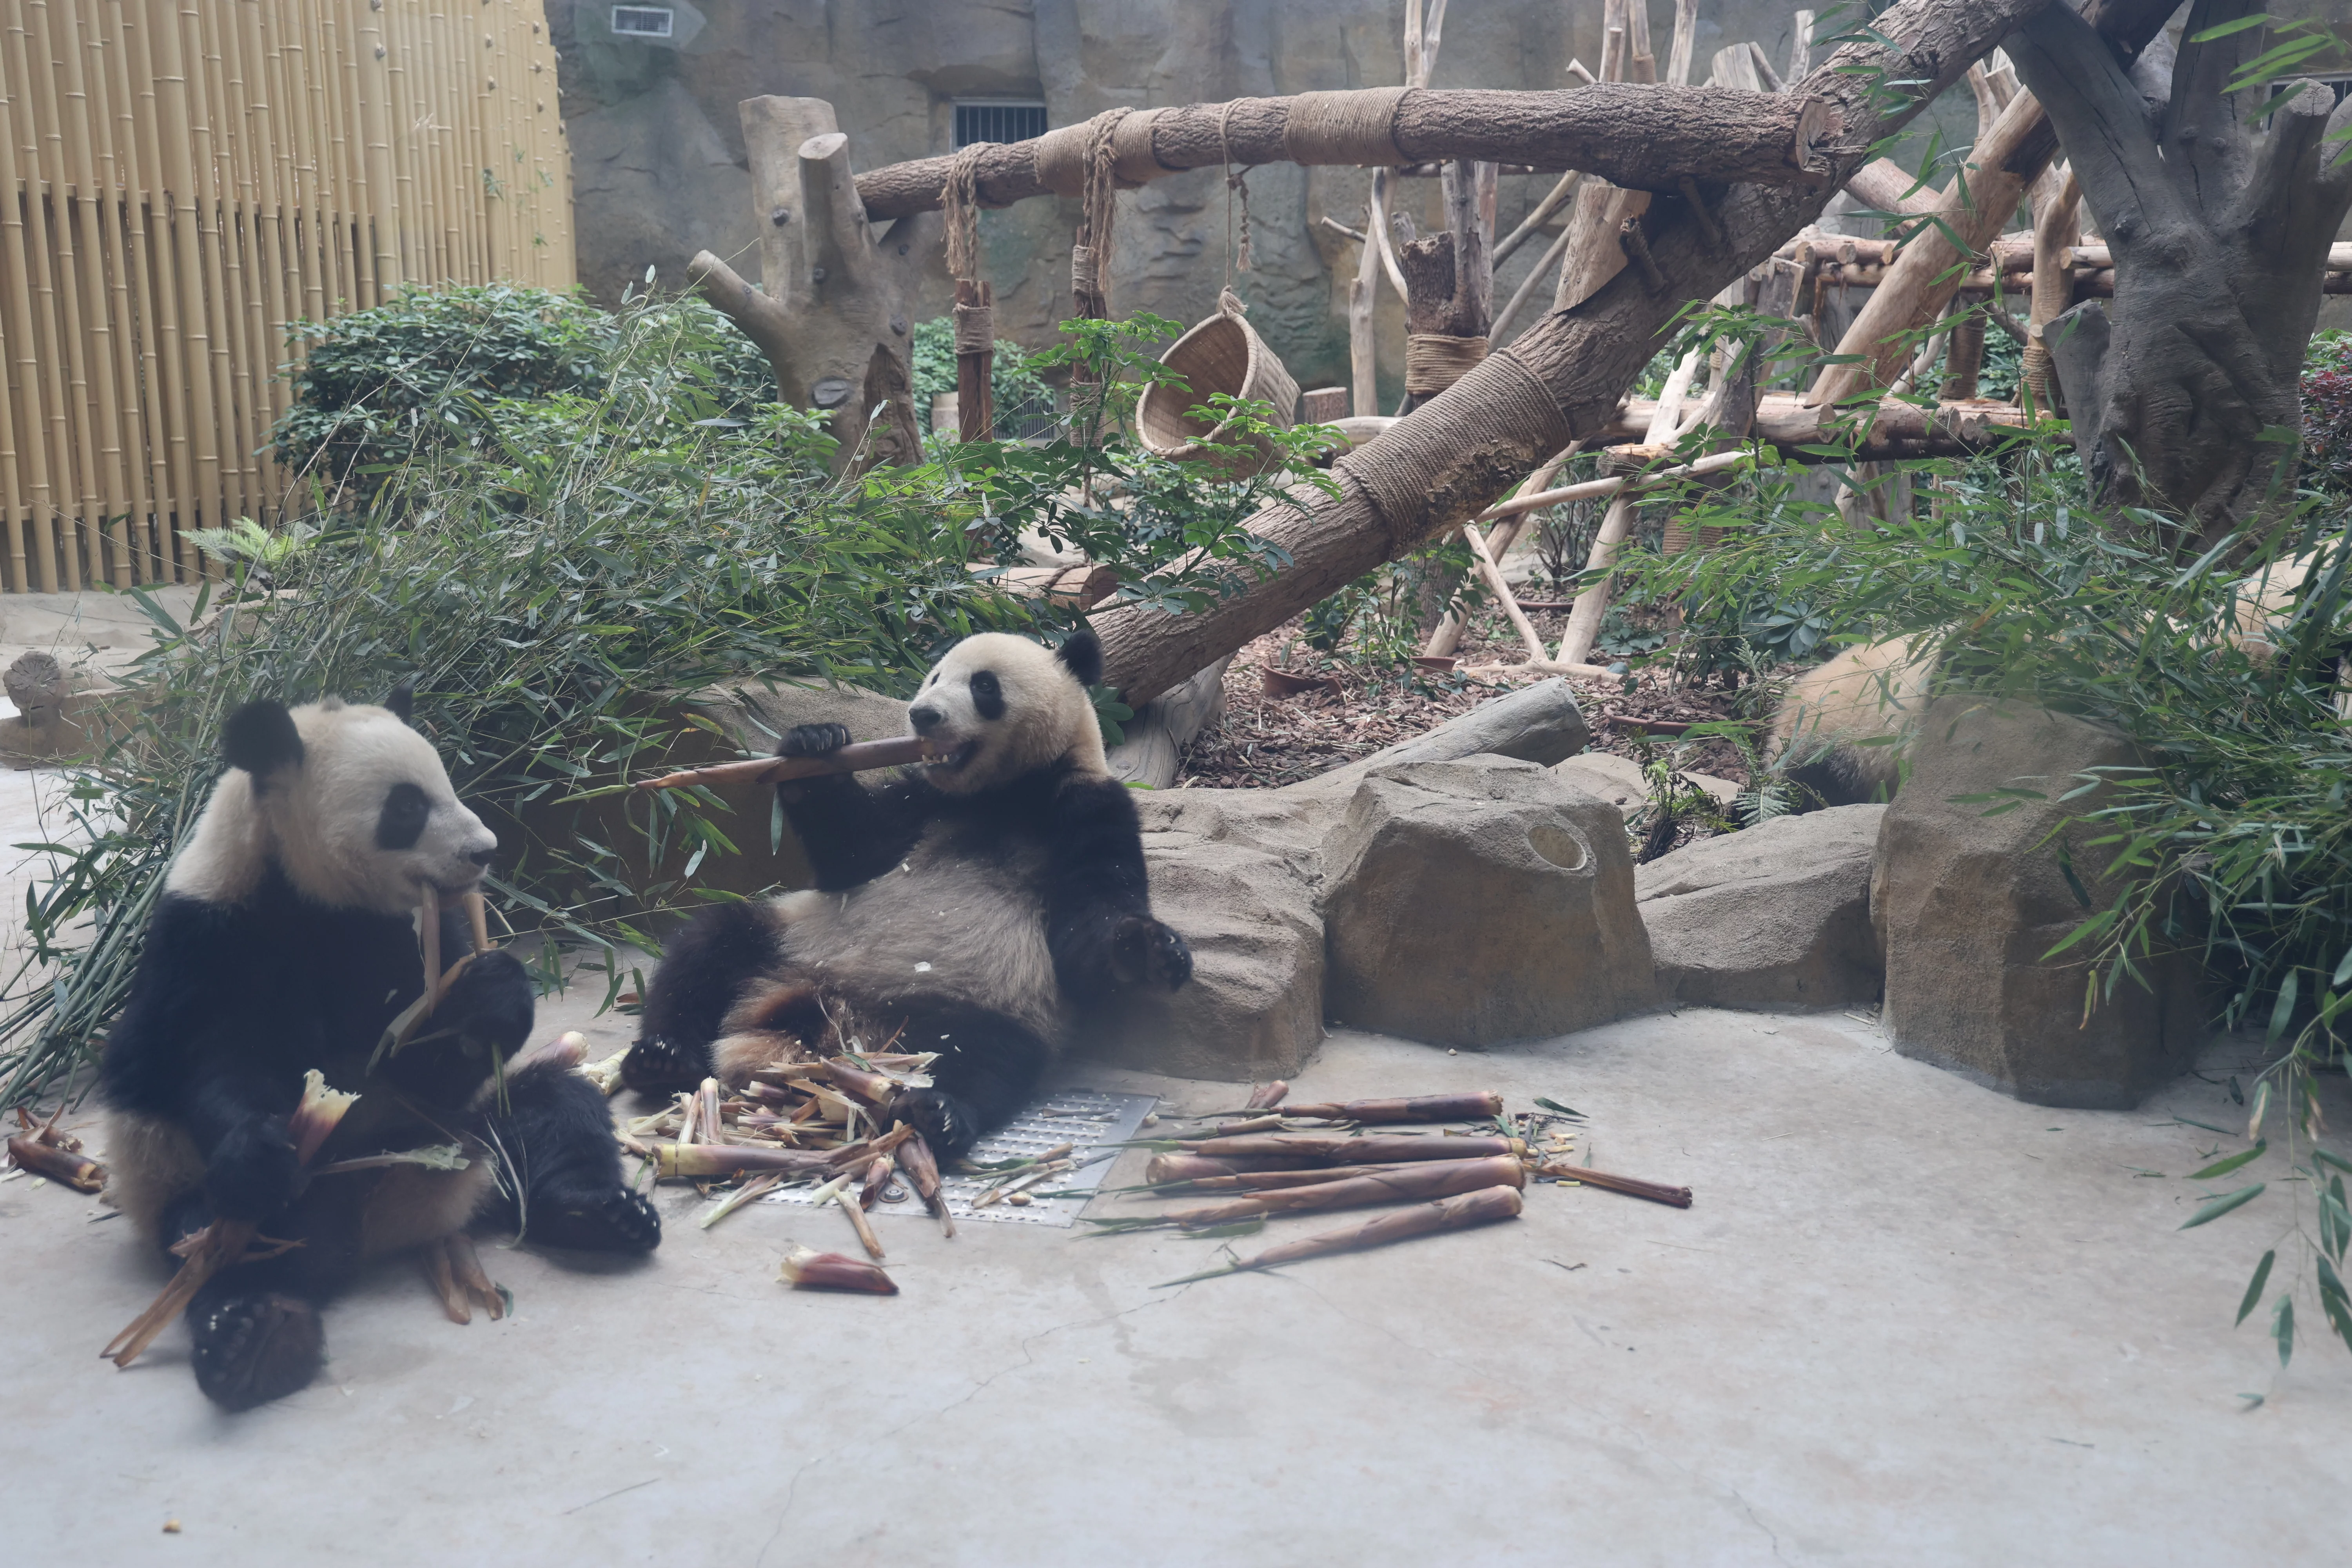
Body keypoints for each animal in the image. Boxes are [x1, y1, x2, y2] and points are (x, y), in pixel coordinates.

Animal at [101, 688, 659, 1411]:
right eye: (406, 807)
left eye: (447, 783)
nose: (484, 851)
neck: (311, 893)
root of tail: (396, 1221)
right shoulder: (216, 935)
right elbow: (215, 1061)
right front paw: (260, 1147)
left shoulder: (408, 932)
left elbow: (428, 1066)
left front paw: (494, 993)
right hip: (180, 1180)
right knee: (218, 1240)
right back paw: (255, 1338)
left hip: (470, 1135)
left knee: (555, 1113)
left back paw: (601, 1214)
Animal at [620, 630, 1193, 1158]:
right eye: (935, 676)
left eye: (984, 686)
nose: (923, 715)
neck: (1002, 794)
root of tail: (843, 1024)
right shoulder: (921, 799)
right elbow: (854, 853)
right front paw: (814, 745)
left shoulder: (1086, 805)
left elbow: (1088, 934)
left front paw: (1149, 947)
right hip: (789, 938)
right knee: (708, 948)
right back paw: (661, 1057)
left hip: (995, 994)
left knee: (987, 1053)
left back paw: (938, 1111)